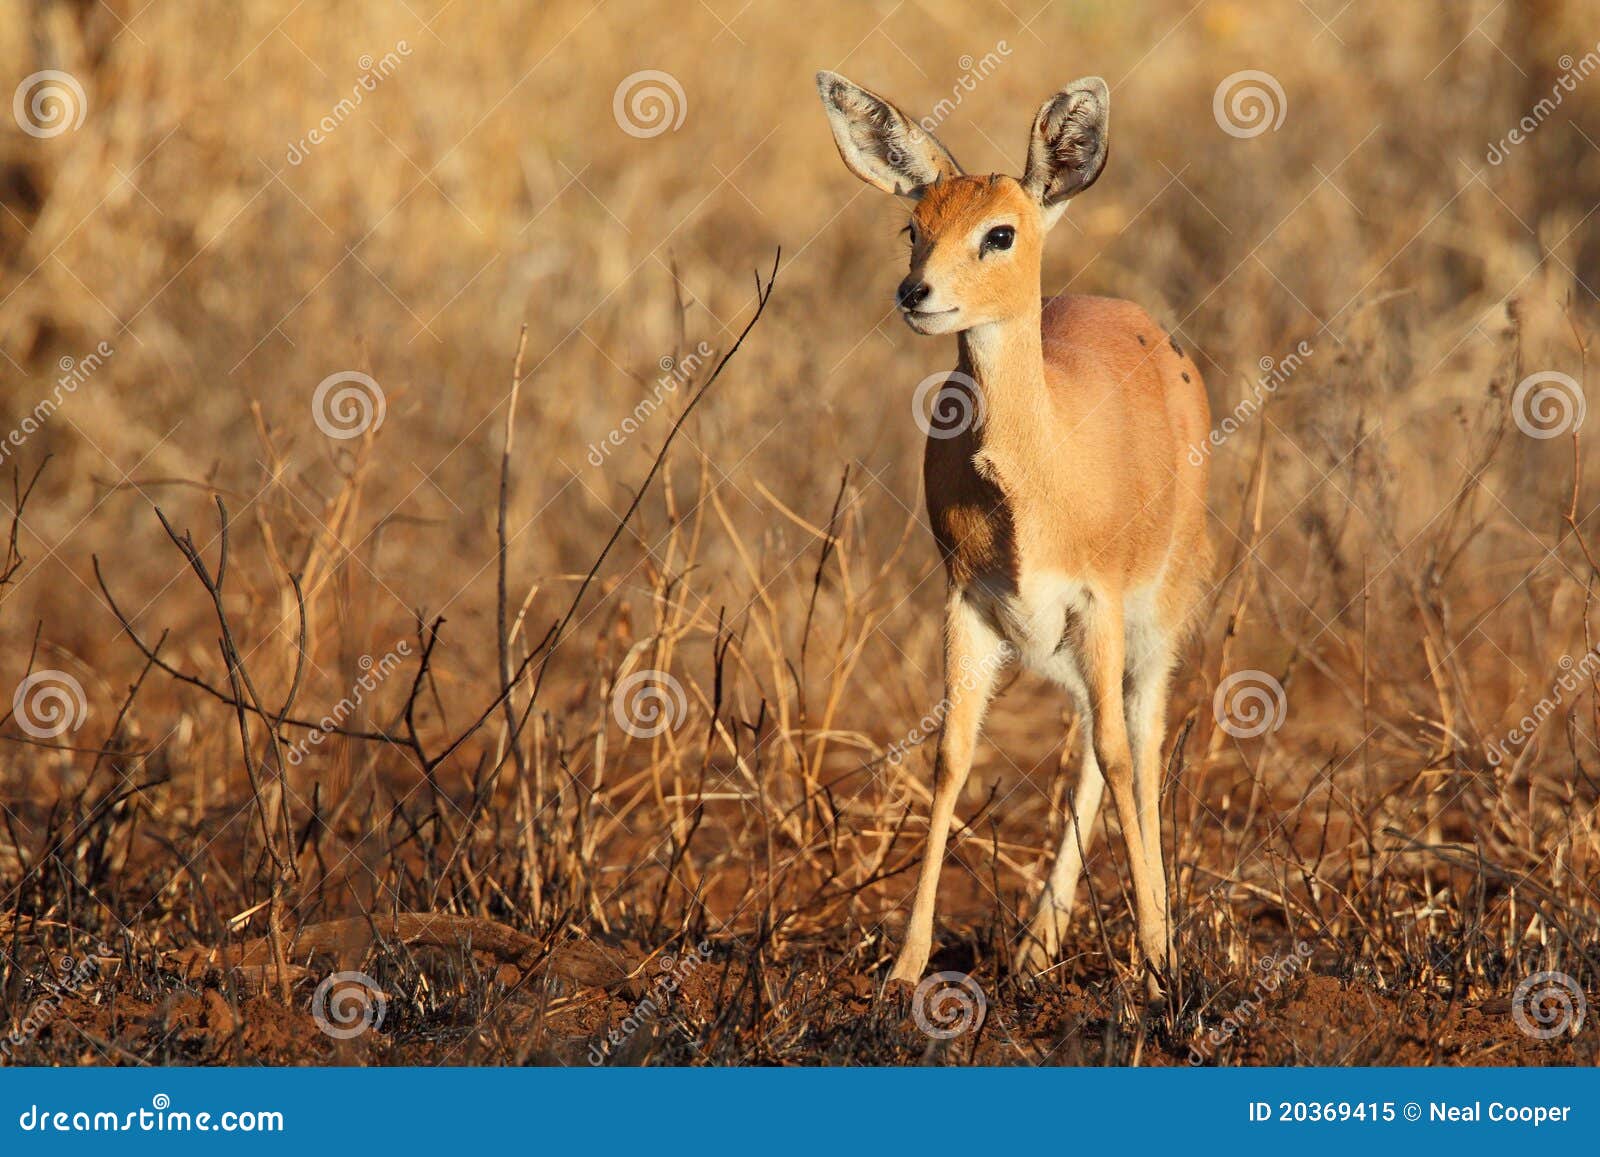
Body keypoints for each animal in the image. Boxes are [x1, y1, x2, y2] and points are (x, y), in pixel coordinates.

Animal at [812, 70, 1209, 998]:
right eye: (913, 226)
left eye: (1001, 231)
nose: (915, 294)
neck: (1034, 475)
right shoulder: (969, 605)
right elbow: (952, 757)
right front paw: (904, 967)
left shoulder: (1098, 603)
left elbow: (1122, 755)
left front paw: (1154, 968)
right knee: (1093, 748)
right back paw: (1035, 947)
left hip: (1154, 620)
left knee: (1136, 741)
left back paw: (1152, 945)